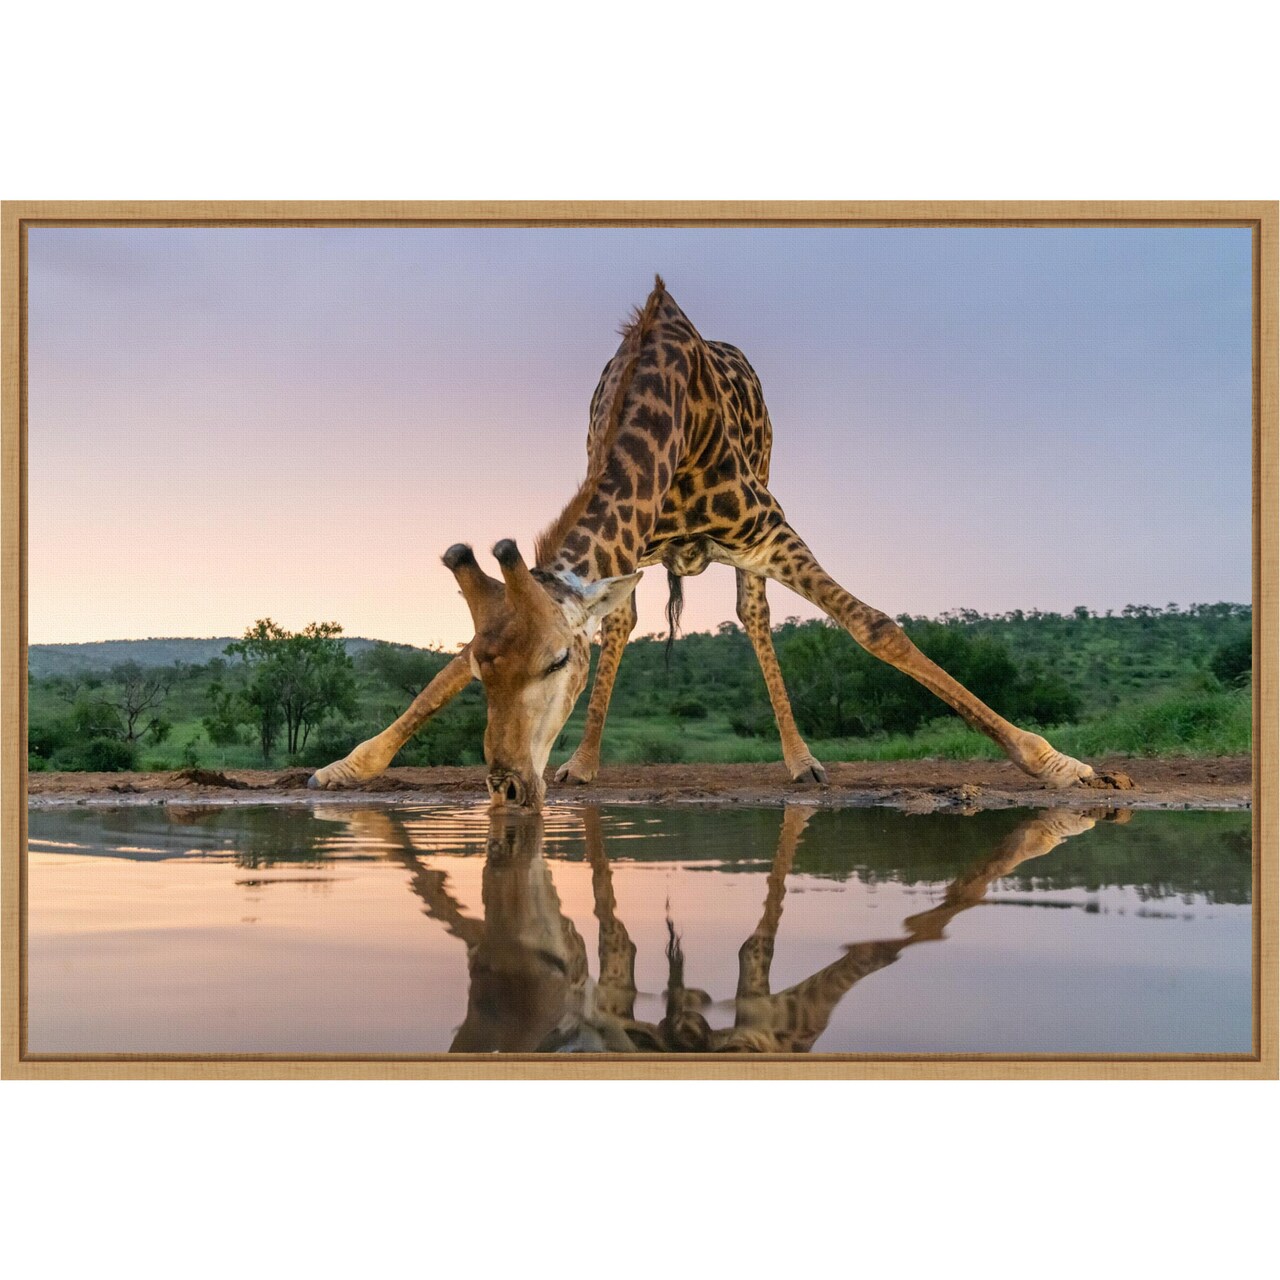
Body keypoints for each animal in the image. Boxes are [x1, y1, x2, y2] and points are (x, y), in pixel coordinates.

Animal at [310, 276, 1130, 807]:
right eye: (486, 673)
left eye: (555, 664)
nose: (509, 787)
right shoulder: (625, 550)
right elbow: (467, 661)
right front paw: (347, 767)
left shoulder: (767, 527)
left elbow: (875, 627)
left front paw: (1061, 765)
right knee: (627, 625)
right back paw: (583, 764)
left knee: (755, 617)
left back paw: (801, 763)